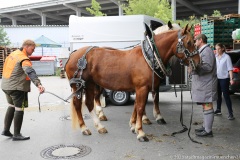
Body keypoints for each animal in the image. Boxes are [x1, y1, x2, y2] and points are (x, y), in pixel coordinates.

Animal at [64, 23, 200, 141]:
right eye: (189, 42)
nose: (198, 62)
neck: (149, 57)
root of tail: (73, 54)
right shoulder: (142, 87)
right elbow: (140, 107)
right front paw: (140, 132)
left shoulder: (143, 88)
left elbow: (137, 106)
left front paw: (133, 126)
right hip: (78, 85)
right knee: (78, 104)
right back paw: (84, 128)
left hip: (89, 84)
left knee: (89, 103)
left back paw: (99, 127)